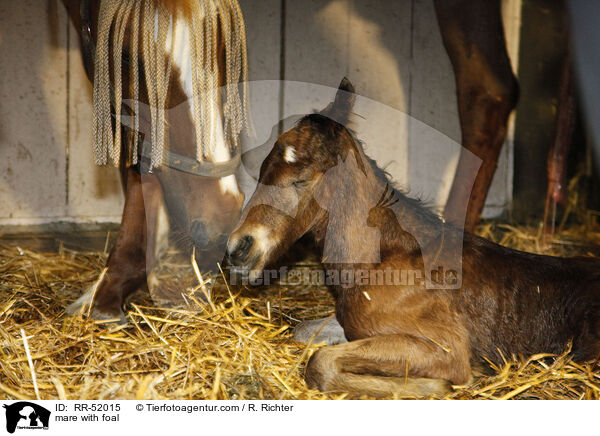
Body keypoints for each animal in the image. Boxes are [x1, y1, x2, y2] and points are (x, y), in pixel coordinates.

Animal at [225, 79, 600, 398]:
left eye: (302, 180)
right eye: (262, 171)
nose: (238, 248)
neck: (382, 260)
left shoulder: (446, 349)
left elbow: (321, 363)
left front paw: (435, 388)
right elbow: (304, 333)